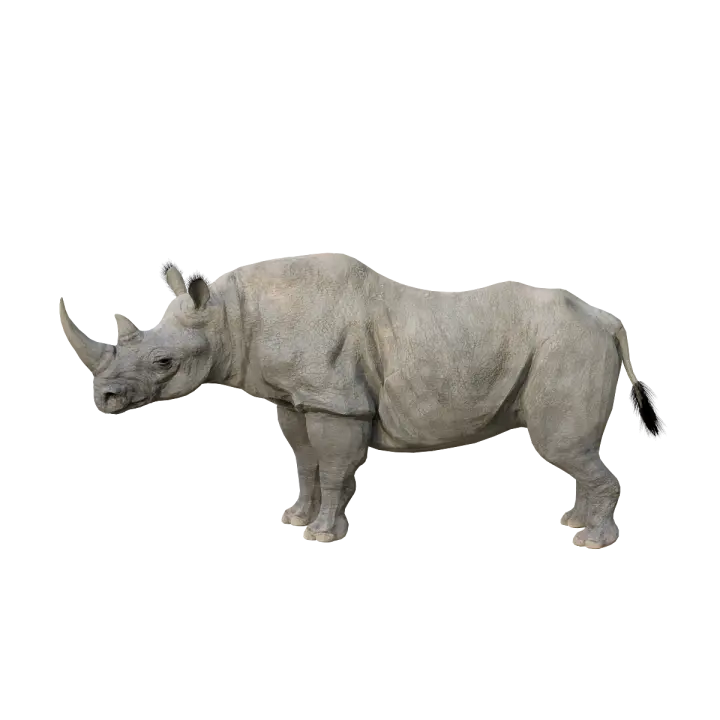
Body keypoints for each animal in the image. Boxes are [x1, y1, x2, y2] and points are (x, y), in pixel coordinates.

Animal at [58, 254, 664, 548]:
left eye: (163, 362)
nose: (102, 397)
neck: (232, 317)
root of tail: (609, 321)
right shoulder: (293, 394)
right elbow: (303, 459)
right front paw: (294, 517)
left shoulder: (334, 398)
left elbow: (332, 466)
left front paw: (322, 534)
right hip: (566, 341)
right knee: (566, 448)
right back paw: (573, 524)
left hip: (569, 344)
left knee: (558, 445)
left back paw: (594, 543)